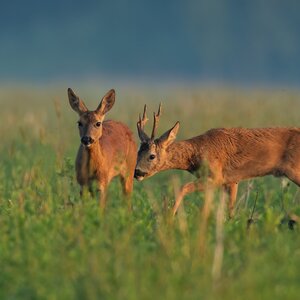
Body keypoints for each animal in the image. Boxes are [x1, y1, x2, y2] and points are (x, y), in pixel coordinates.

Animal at [135, 104, 300, 217]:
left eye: (152, 155)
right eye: (137, 153)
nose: (137, 172)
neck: (197, 151)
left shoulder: (216, 176)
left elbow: (184, 187)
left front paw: (170, 216)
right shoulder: (230, 181)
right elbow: (228, 209)